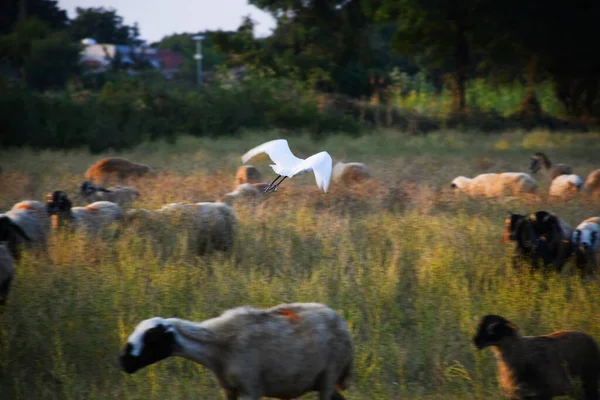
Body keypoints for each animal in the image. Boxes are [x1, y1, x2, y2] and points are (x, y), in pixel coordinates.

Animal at [120, 304, 354, 400]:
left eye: (152, 337)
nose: (123, 361)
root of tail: (341, 322)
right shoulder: (228, 389)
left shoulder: (251, 389)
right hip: (320, 380)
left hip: (329, 375)